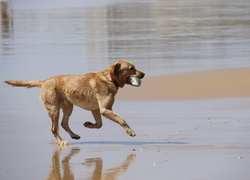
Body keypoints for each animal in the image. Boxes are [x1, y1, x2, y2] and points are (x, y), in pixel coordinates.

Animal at [5, 61, 145, 146]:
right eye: (131, 68)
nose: (143, 74)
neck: (110, 78)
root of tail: (44, 81)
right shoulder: (105, 109)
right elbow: (122, 120)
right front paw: (130, 131)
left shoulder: (96, 110)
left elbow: (99, 125)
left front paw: (89, 124)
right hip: (54, 109)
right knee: (54, 128)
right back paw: (61, 142)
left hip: (68, 107)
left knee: (64, 123)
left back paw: (74, 135)